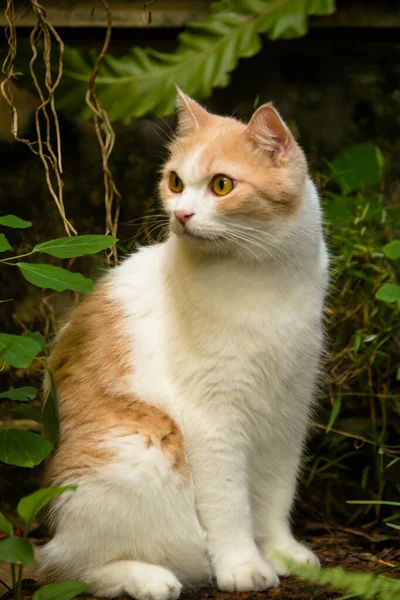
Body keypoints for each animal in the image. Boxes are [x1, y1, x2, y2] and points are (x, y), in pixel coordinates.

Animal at [36, 90, 328, 600]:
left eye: (222, 185)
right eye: (175, 182)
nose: (181, 214)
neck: (261, 280)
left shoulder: (287, 411)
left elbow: (275, 495)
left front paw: (281, 550)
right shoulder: (213, 418)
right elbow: (229, 504)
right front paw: (243, 566)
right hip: (136, 452)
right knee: (66, 565)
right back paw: (149, 578)